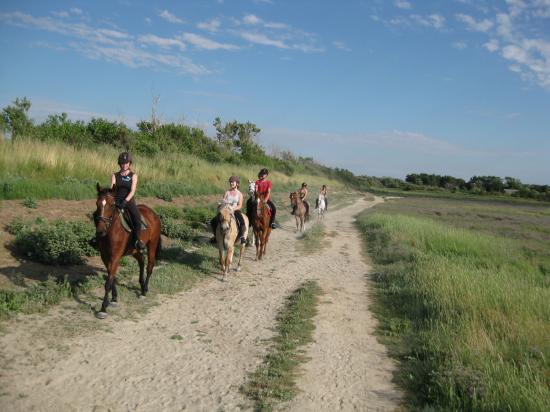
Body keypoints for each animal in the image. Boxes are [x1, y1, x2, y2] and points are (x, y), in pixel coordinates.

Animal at [92, 183, 161, 318]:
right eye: (97, 204)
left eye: (112, 205)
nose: (100, 231)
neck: (111, 230)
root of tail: (153, 213)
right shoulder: (105, 256)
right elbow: (111, 277)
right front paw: (113, 299)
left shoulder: (115, 257)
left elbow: (108, 281)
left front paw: (103, 309)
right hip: (134, 250)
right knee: (141, 261)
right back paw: (142, 285)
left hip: (152, 244)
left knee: (150, 265)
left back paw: (144, 291)